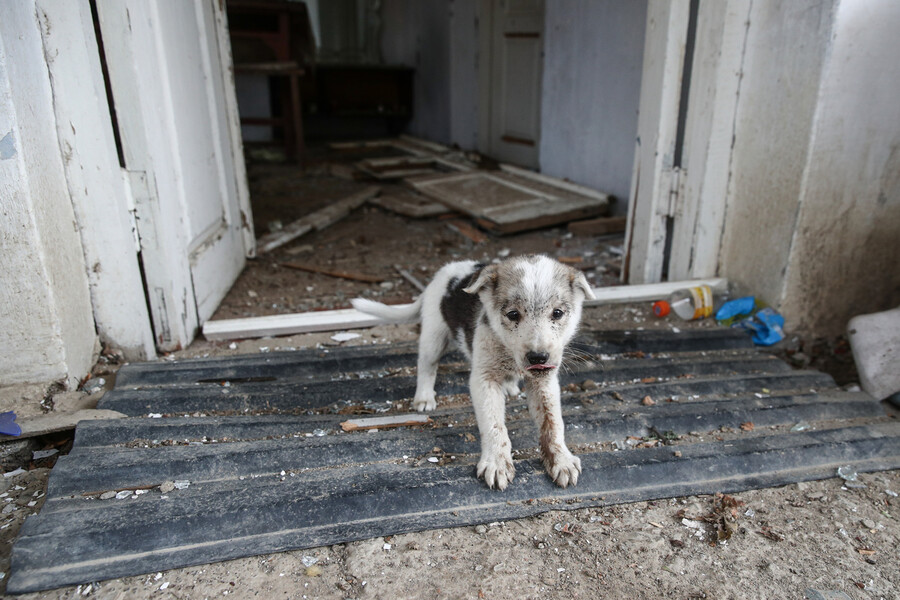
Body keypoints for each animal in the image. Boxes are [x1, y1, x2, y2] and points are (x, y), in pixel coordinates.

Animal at [354, 255, 596, 490]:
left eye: (557, 313)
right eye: (513, 314)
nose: (538, 358)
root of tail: (447, 269)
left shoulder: (544, 382)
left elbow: (552, 422)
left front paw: (562, 460)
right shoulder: (483, 379)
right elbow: (493, 424)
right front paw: (497, 463)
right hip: (434, 335)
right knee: (426, 365)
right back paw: (424, 397)